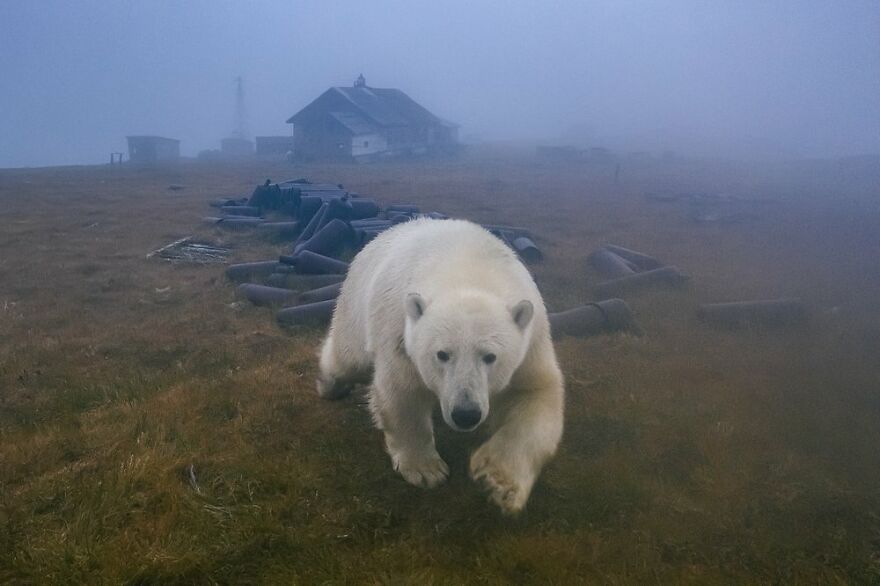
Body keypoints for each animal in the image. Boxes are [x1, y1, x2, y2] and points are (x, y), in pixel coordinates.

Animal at [316, 218, 564, 512]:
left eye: (490, 356)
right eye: (442, 354)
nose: (466, 414)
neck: (469, 270)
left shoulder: (531, 342)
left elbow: (536, 395)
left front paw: (497, 481)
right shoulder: (400, 328)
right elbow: (403, 392)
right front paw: (426, 470)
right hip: (356, 303)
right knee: (347, 357)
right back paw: (329, 385)